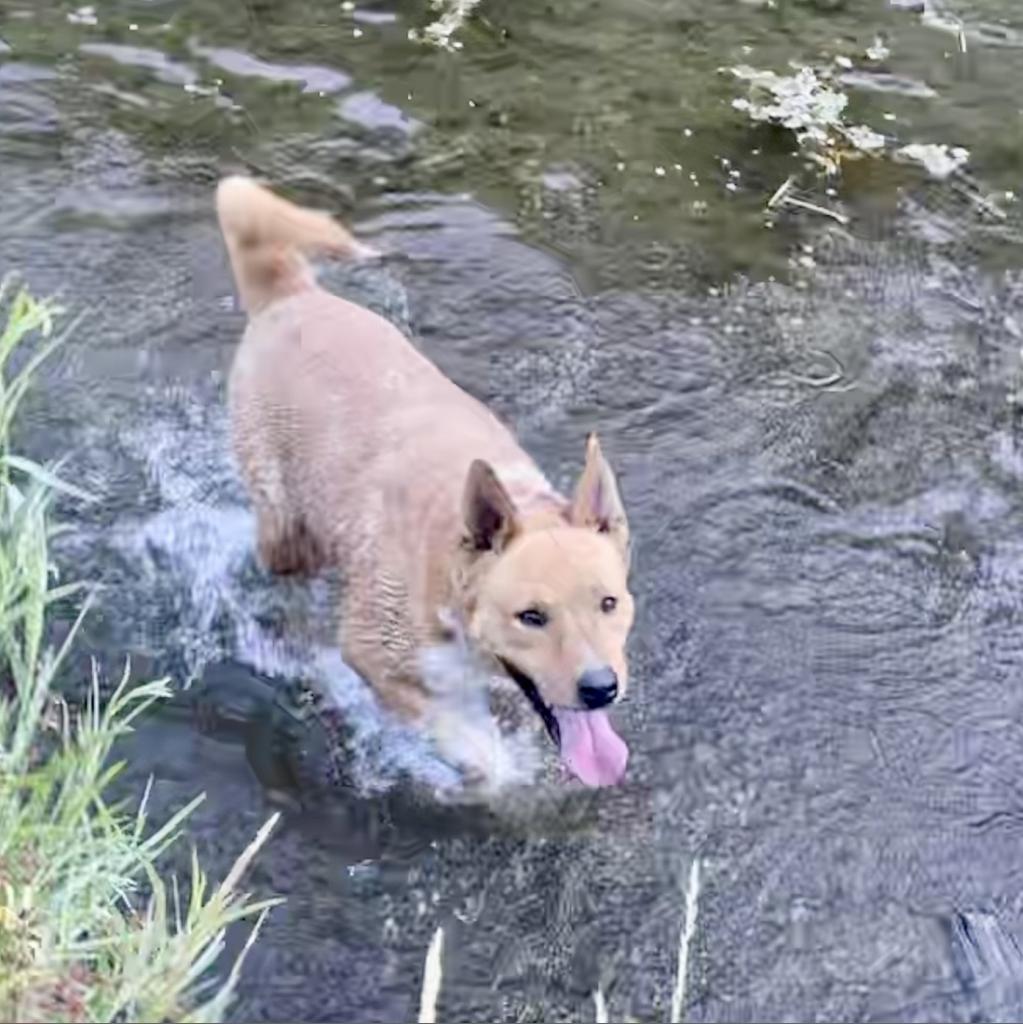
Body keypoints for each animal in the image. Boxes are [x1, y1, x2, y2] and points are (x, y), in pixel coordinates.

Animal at [215, 176, 630, 790]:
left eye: (608, 602)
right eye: (531, 616)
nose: (600, 688)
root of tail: (287, 294)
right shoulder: (373, 650)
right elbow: (465, 740)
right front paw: (495, 773)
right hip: (286, 525)